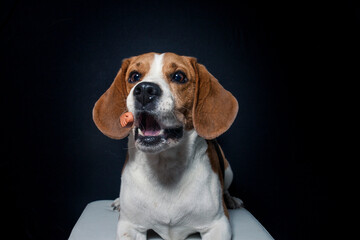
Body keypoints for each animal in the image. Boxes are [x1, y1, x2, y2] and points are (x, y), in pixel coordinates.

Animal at [93, 53, 243, 240]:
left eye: (179, 76)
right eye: (134, 76)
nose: (144, 90)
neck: (164, 168)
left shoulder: (218, 225)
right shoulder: (129, 226)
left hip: (229, 171)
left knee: (226, 188)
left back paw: (231, 199)